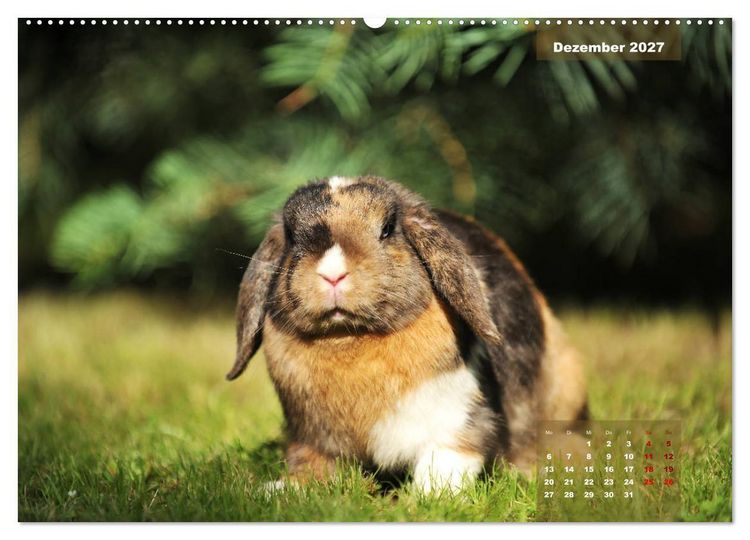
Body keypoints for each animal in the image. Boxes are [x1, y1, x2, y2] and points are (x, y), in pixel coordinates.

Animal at [227, 175, 588, 494]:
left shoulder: (456, 425)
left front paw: (430, 498)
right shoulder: (311, 438)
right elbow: (311, 466)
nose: (332, 274)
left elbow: (445, 463)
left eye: (387, 228)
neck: (349, 338)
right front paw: (278, 490)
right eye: (291, 235)